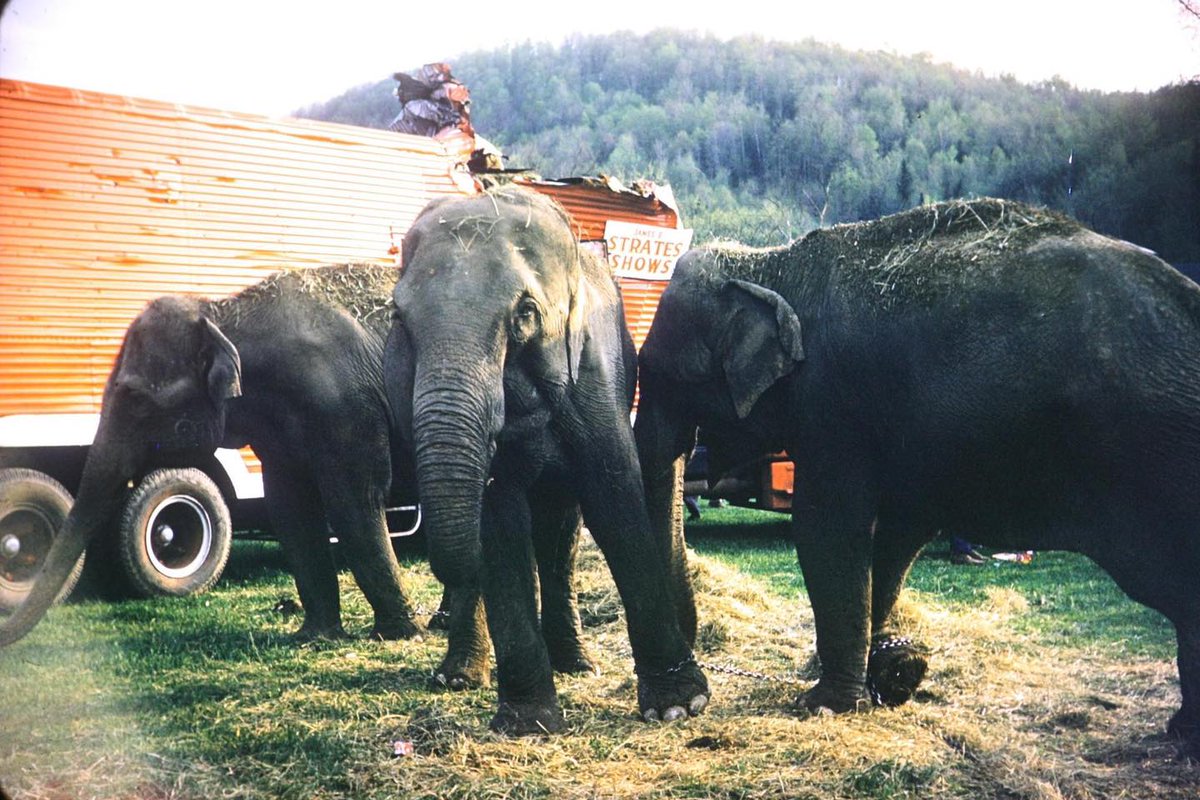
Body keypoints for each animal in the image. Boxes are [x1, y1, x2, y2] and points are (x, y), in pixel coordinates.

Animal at [383, 185, 708, 735]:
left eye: (525, 315)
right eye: (398, 320)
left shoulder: (598, 375)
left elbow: (614, 500)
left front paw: (680, 707)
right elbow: (499, 523)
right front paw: (527, 724)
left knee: (561, 536)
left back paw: (576, 664)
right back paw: (459, 676)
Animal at [633, 197, 1200, 754]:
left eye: (667, 375)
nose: (692, 699)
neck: (771, 264)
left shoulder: (834, 407)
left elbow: (827, 528)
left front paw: (826, 705)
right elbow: (892, 535)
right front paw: (888, 672)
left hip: (1153, 458)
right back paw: (1181, 733)